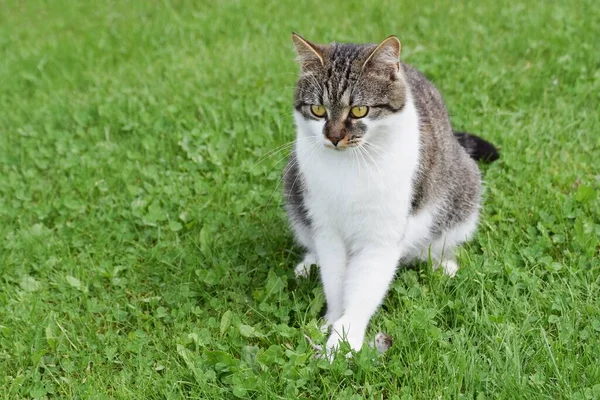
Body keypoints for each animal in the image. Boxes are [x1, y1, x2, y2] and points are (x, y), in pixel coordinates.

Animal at [284, 33, 500, 356]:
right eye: (318, 110)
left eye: (359, 110)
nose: (333, 137)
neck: (348, 168)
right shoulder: (326, 227)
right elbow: (335, 281)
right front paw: (331, 321)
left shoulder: (381, 236)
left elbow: (364, 287)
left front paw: (343, 340)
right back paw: (310, 262)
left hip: (464, 188)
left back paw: (443, 264)